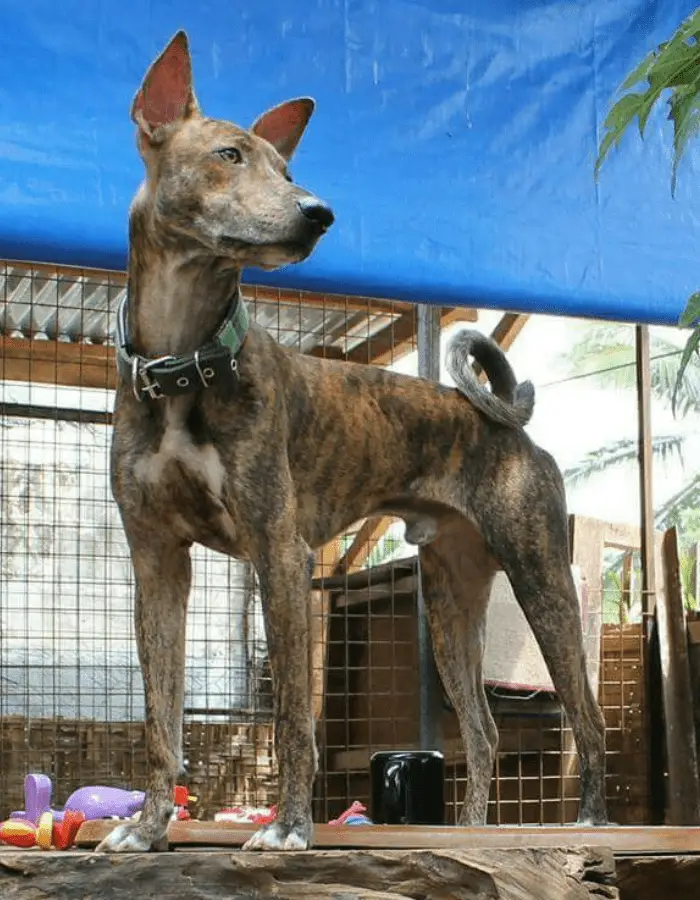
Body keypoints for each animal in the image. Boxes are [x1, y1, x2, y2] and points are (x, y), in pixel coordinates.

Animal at [98, 31, 608, 856]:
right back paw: (474, 833)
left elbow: (292, 722)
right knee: (485, 731)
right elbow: (160, 722)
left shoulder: (280, 553)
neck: (184, 362)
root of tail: (504, 422)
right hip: (451, 602)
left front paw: (288, 829)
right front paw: (145, 831)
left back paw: (595, 821)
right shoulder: (156, 562)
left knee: (586, 716)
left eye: (286, 170)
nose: (320, 213)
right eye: (229, 155)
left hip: (541, 577)